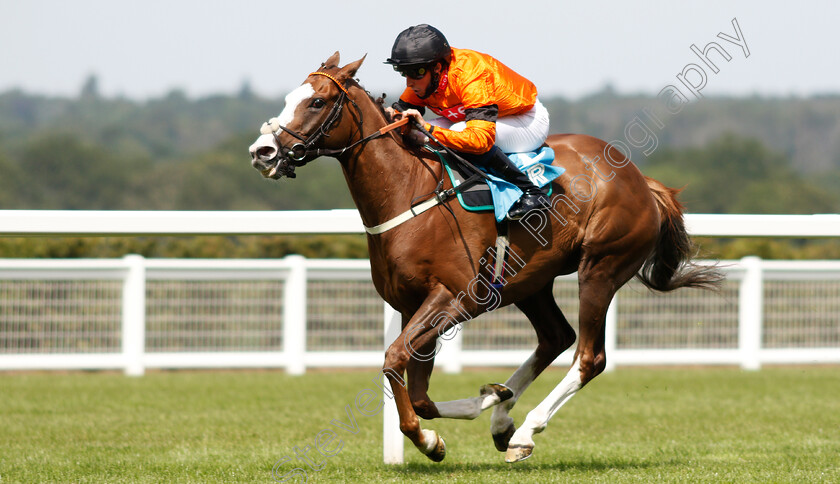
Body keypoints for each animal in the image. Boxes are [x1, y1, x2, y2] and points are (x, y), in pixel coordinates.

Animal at [246, 51, 720, 464]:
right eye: (290, 98)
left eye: (317, 101)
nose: (262, 152)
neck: (411, 192)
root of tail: (642, 181)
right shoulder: (412, 305)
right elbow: (418, 391)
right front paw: (479, 406)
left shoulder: (455, 297)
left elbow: (395, 360)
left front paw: (429, 439)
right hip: (531, 282)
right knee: (556, 337)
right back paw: (502, 416)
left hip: (600, 269)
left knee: (588, 357)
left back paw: (525, 431)